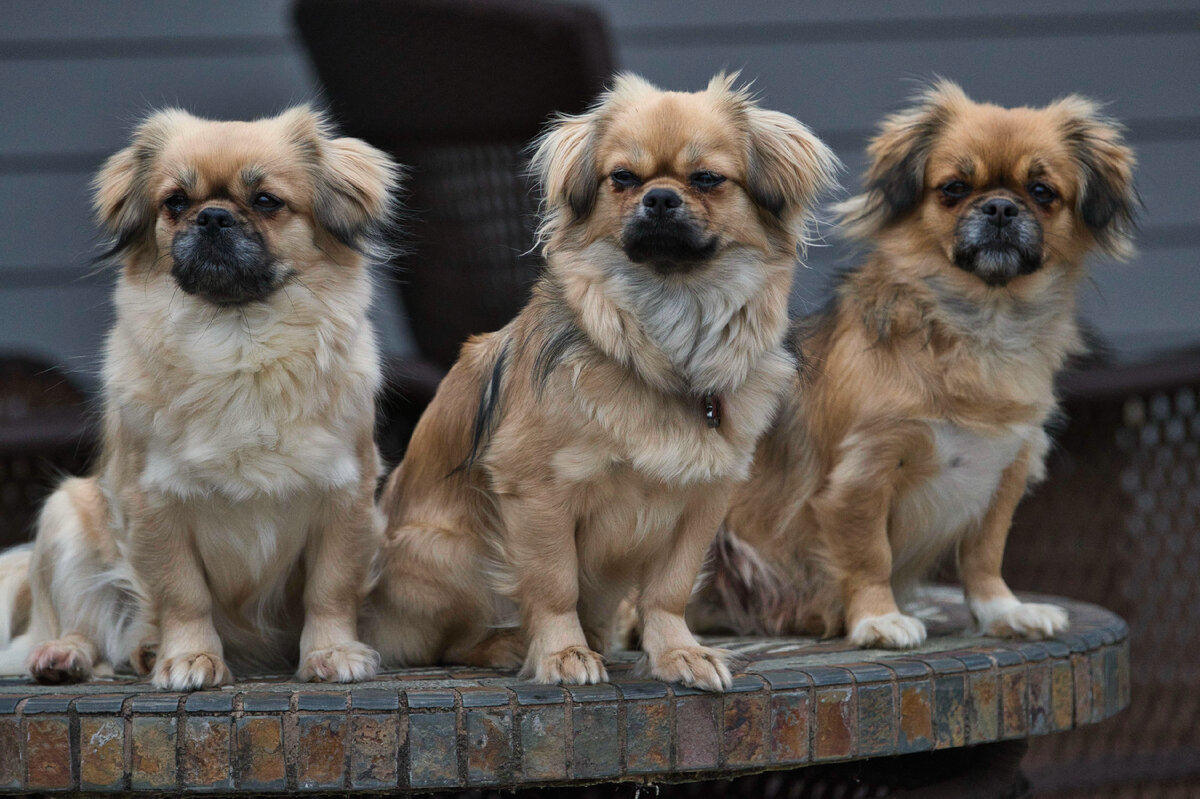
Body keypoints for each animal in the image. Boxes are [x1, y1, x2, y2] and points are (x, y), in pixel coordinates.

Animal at [0, 107, 403, 691]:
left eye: (266, 201)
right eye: (175, 202)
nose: (212, 217)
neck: (237, 339)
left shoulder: (344, 496)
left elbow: (329, 588)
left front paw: (333, 653)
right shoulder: (155, 503)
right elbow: (183, 594)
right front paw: (190, 659)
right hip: (66, 516)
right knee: (84, 628)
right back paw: (70, 656)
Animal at [360, 71, 840, 686]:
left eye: (707, 179)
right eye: (623, 179)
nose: (660, 197)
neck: (669, 320)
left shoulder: (705, 498)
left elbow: (668, 591)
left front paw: (678, 653)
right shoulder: (538, 492)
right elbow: (553, 584)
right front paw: (563, 653)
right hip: (448, 551)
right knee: (447, 643)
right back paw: (511, 646)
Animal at [696, 77, 1132, 643]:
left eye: (1042, 192)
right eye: (953, 189)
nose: (999, 208)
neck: (980, 325)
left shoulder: (1005, 472)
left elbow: (985, 555)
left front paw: (1004, 611)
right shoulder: (863, 474)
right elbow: (869, 556)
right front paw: (878, 619)